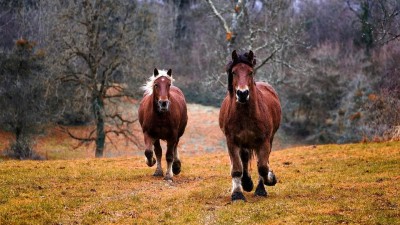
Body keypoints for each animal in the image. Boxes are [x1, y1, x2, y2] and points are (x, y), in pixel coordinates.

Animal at [219, 50, 282, 201]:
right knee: (245, 159)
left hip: (269, 139)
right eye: (234, 72)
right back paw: (246, 183)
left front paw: (269, 180)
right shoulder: (232, 141)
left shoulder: (264, 141)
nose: (242, 93)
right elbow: (237, 168)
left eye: (250, 72)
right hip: (244, 143)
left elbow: (263, 167)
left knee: (261, 161)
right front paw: (237, 194)